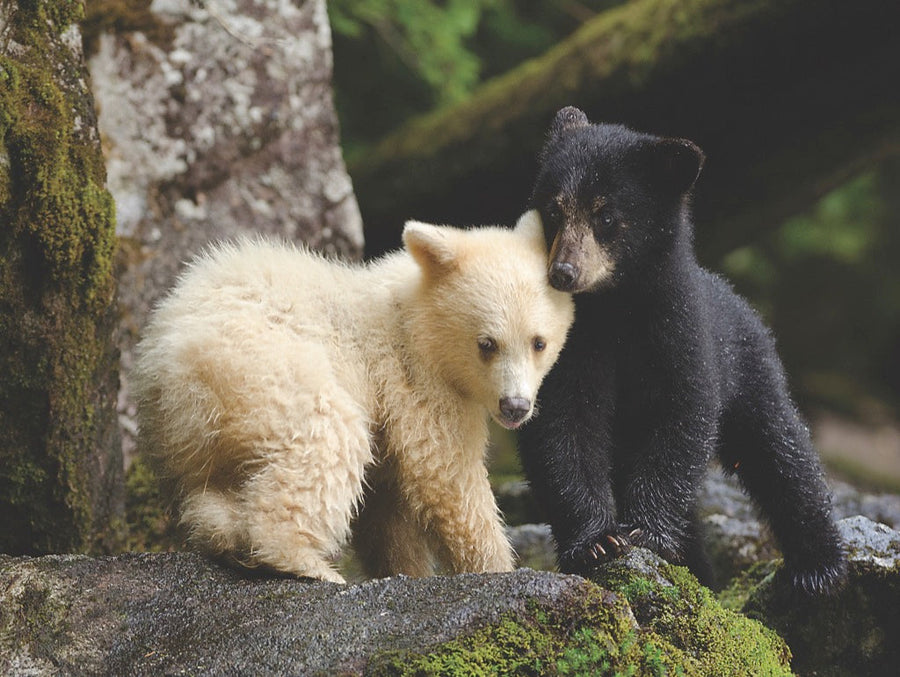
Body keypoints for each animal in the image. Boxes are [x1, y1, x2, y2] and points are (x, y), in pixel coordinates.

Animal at [132, 211, 574, 583]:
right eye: (487, 344)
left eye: (538, 342)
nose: (515, 407)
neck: (415, 319)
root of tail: (162, 364)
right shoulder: (416, 380)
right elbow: (446, 475)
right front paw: (496, 567)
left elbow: (387, 510)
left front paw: (405, 570)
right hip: (262, 368)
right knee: (328, 437)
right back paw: (305, 562)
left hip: (198, 434)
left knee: (210, 488)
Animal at [516, 106, 847, 595]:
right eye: (553, 210)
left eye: (606, 216)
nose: (563, 272)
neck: (615, 308)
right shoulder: (566, 347)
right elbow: (562, 425)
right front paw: (597, 542)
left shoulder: (680, 332)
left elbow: (681, 416)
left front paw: (646, 532)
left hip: (751, 369)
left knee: (781, 450)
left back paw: (818, 566)